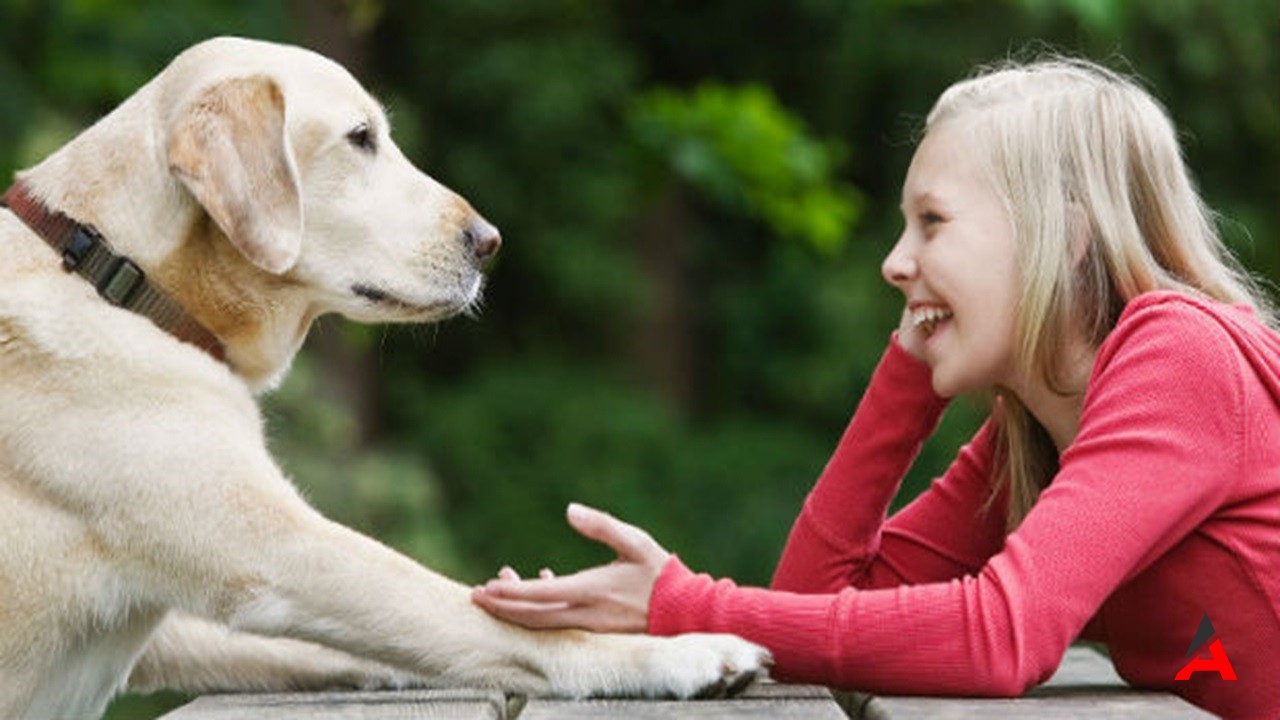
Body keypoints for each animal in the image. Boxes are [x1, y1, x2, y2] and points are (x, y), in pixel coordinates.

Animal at [0, 37, 762, 717]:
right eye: (360, 138)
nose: (489, 242)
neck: (117, 272)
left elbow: (356, 645)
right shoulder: (280, 552)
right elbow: (484, 619)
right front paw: (682, 653)